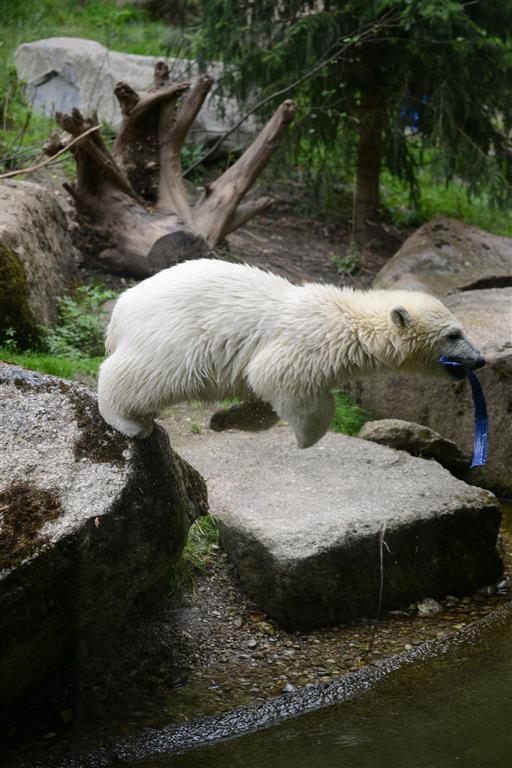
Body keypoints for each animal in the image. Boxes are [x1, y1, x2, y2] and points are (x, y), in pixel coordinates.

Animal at [98, 260, 486, 448]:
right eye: (454, 334)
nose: (480, 359)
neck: (350, 321)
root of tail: (119, 312)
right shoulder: (306, 344)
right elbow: (276, 376)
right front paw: (306, 438)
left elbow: (261, 398)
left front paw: (224, 419)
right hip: (174, 336)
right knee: (148, 374)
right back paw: (128, 420)